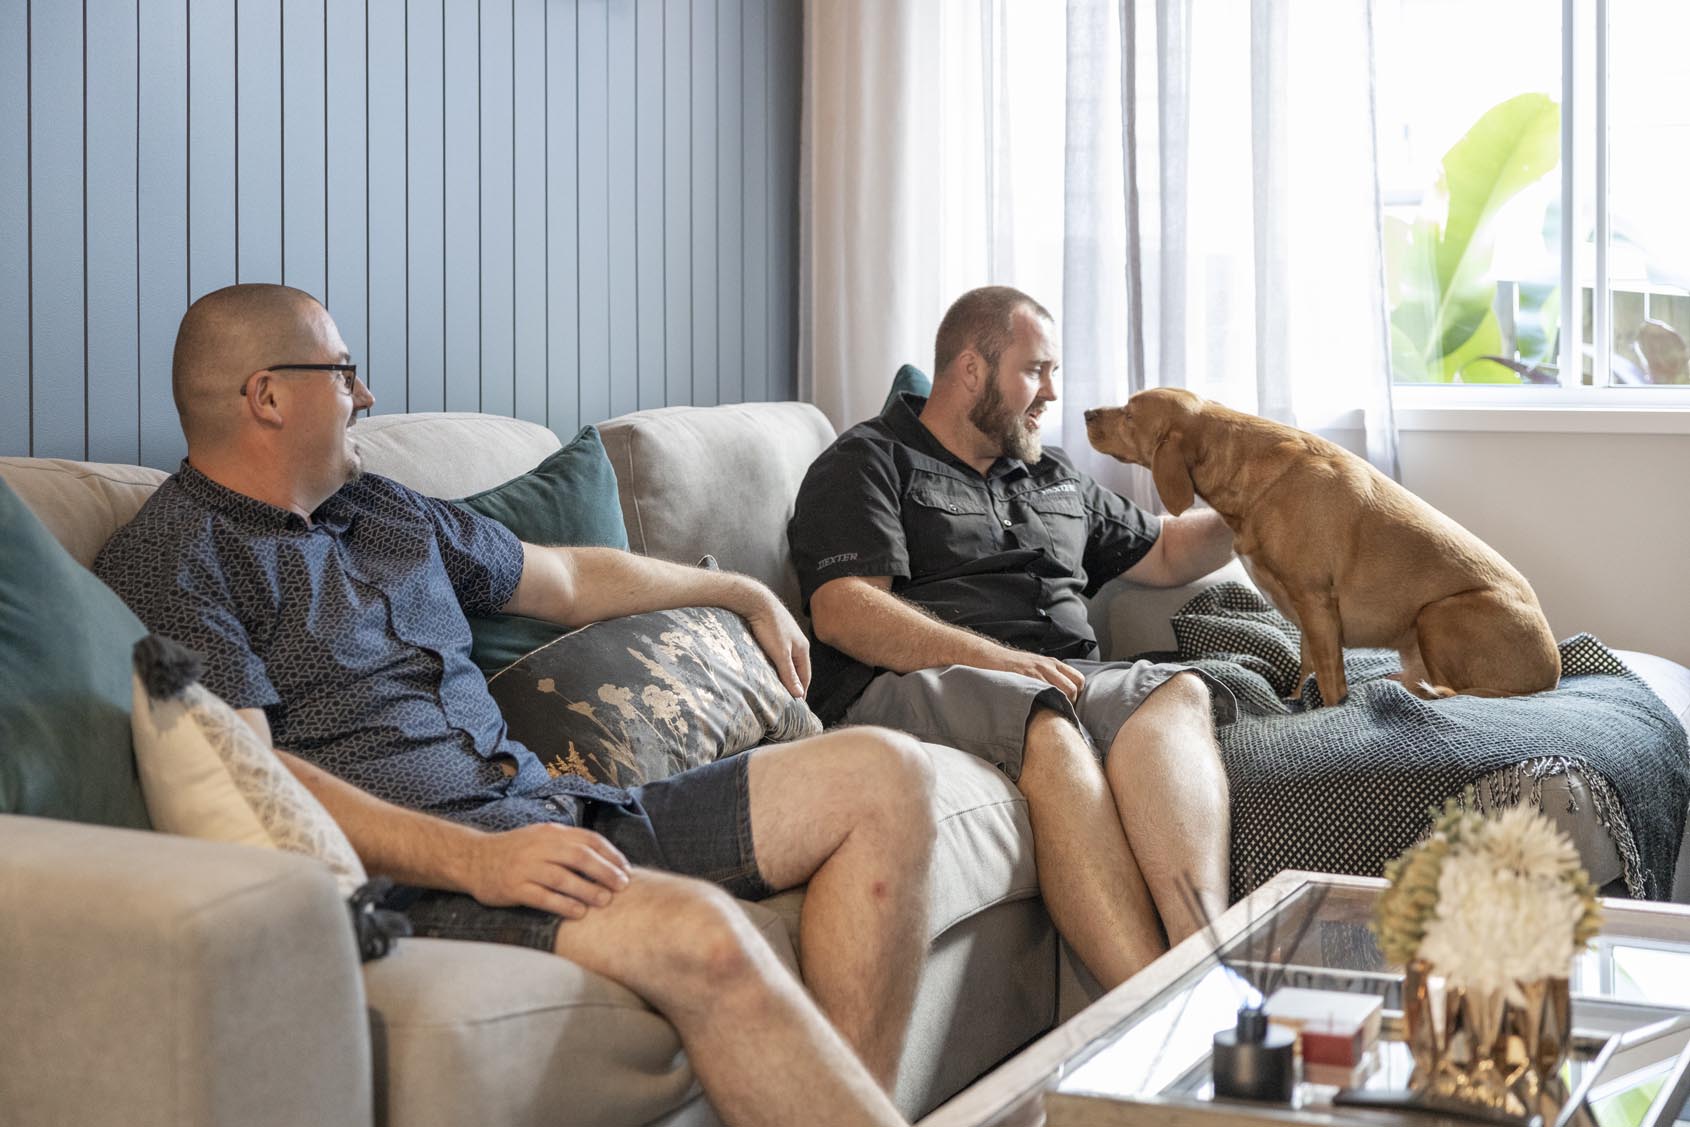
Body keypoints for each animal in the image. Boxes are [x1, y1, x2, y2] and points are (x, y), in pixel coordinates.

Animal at [1081, 390, 1554, 706]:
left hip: (1436, 613)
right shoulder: (1307, 614)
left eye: (1129, 413)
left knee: (1452, 688)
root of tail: (1549, 678)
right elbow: (1306, 665)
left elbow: (1328, 681)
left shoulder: (1315, 600)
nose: (1086, 411)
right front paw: (1293, 699)